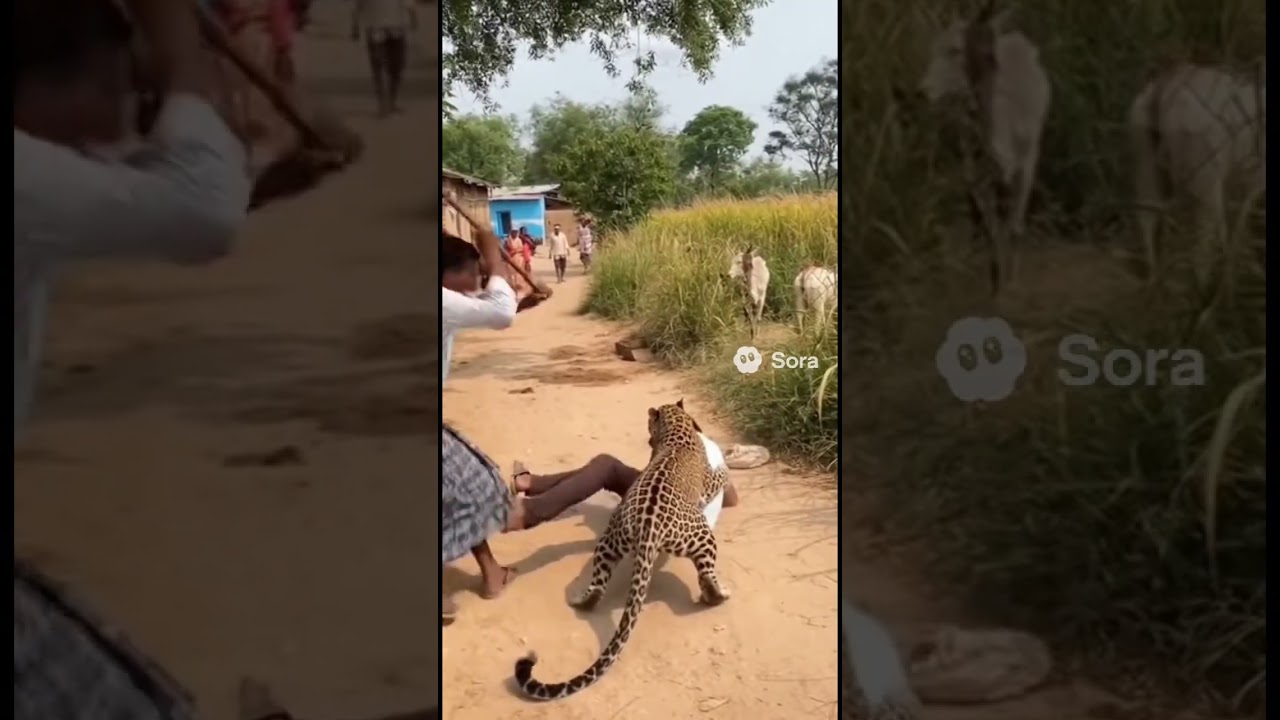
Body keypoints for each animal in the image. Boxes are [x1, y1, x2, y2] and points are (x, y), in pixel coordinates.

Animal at [513, 399, 731, 701]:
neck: (677, 425)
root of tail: (647, 528)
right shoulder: (708, 485)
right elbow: (719, 477)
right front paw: (725, 468)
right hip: (702, 537)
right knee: (707, 576)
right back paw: (719, 594)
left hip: (609, 542)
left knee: (597, 584)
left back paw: (580, 600)